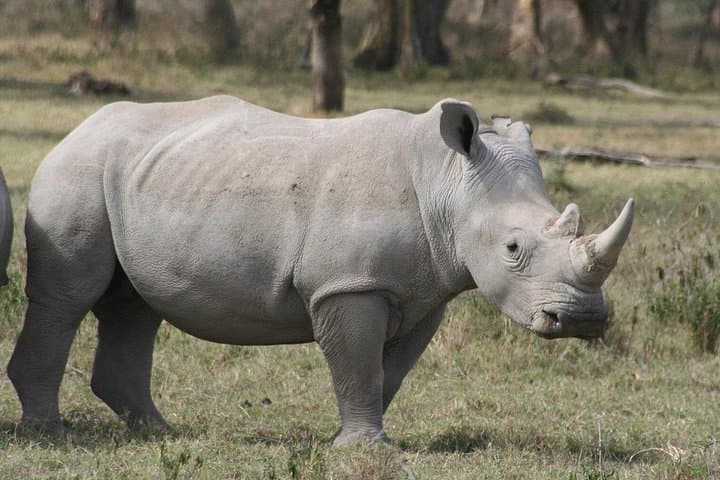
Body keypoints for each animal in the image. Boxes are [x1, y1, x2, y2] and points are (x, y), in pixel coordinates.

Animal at [6, 96, 634, 446]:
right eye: (512, 248)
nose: (582, 319)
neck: (447, 183)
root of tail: (78, 127)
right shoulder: (348, 284)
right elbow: (356, 362)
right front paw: (366, 451)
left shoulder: (423, 290)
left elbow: (387, 372)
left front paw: (352, 438)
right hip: (76, 171)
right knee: (68, 297)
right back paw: (50, 432)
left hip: (139, 177)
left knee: (136, 305)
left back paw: (159, 430)